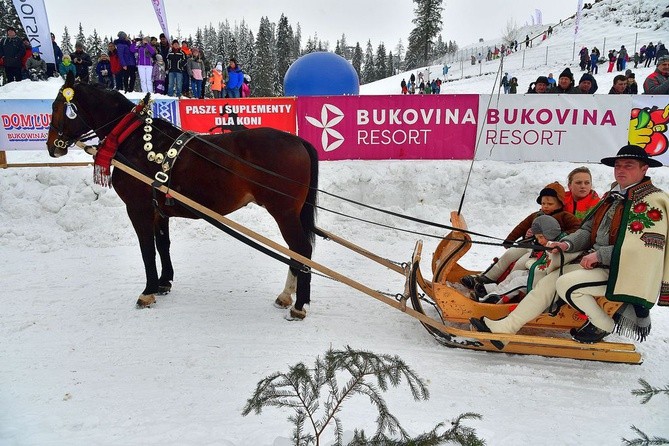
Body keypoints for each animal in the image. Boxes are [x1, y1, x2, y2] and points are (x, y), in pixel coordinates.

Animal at [46, 72, 318, 318]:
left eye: (56, 106)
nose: (51, 147)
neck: (131, 138)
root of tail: (299, 141)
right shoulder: (158, 210)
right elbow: (162, 244)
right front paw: (164, 282)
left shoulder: (138, 208)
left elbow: (147, 249)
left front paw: (148, 291)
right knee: (296, 251)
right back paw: (287, 295)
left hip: (284, 212)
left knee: (301, 249)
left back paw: (298, 305)